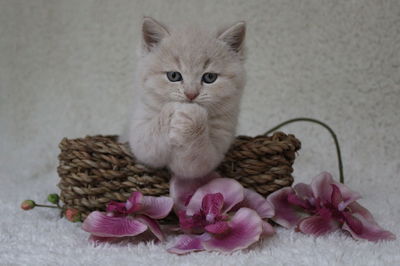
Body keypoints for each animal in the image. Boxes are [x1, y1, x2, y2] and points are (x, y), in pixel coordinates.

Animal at [125, 16, 245, 179]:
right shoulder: (139, 134)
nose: (191, 94)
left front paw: (191, 116)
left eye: (210, 77)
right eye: (174, 76)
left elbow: (194, 160)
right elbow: (149, 139)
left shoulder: (215, 151)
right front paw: (174, 110)